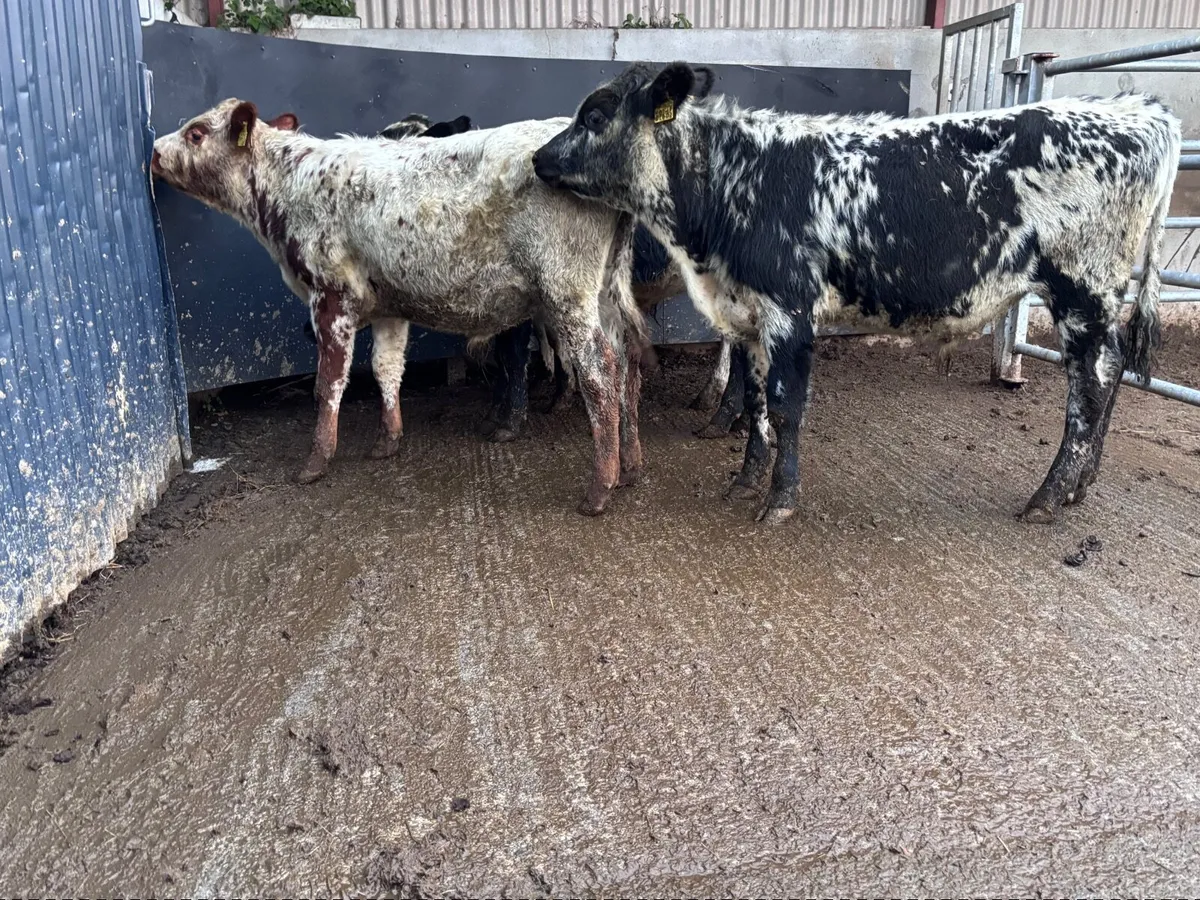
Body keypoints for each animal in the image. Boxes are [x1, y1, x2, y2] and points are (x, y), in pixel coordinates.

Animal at [152, 100, 642, 516]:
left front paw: (316, 460)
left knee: (600, 371)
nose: (154, 151)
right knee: (626, 365)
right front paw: (387, 439)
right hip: (607, 291)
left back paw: (600, 487)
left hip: (567, 290)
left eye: (196, 133)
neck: (291, 184)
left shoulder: (331, 295)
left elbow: (330, 382)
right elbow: (386, 368)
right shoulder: (388, 304)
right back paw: (630, 467)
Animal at [532, 61, 1181, 524]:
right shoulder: (746, 314)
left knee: (1092, 382)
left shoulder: (789, 310)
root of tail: (1138, 110)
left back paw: (1050, 496)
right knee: (1111, 374)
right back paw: (1080, 488)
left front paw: (779, 500)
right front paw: (745, 481)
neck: (733, 182)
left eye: (594, 116)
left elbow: (786, 405)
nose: (539, 157)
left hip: (1082, 287)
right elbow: (756, 400)